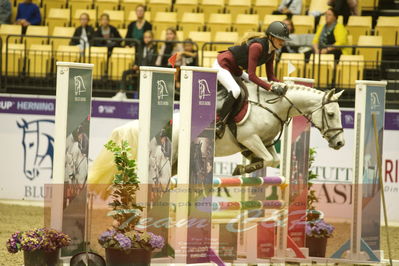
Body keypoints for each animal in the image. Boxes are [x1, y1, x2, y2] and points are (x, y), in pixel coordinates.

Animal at [89, 82, 346, 185]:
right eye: (331, 114)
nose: (340, 143)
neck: (273, 106)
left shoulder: (264, 142)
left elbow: (273, 159)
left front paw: (245, 166)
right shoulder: (250, 138)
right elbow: (269, 159)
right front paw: (241, 168)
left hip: (176, 163)